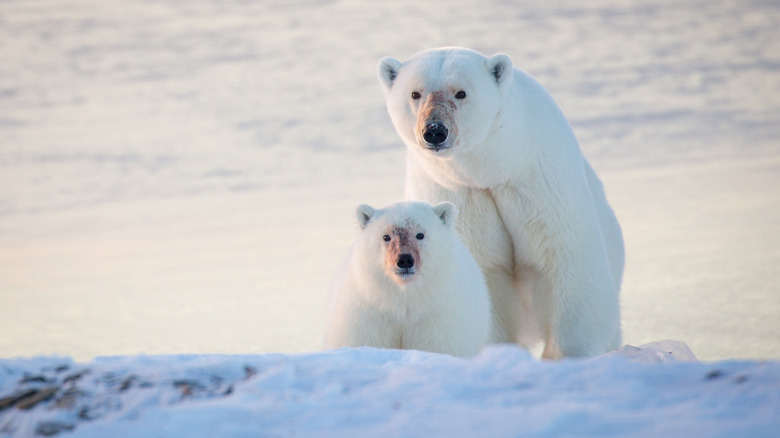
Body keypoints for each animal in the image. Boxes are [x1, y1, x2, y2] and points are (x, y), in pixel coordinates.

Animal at [323, 201, 492, 357]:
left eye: (420, 234)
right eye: (386, 236)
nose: (404, 260)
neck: (403, 301)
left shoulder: (438, 314)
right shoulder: (368, 312)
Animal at [377, 47, 624, 359]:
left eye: (461, 92)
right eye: (415, 93)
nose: (434, 130)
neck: (492, 169)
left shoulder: (538, 181)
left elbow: (565, 257)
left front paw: (564, 355)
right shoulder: (460, 192)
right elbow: (486, 272)